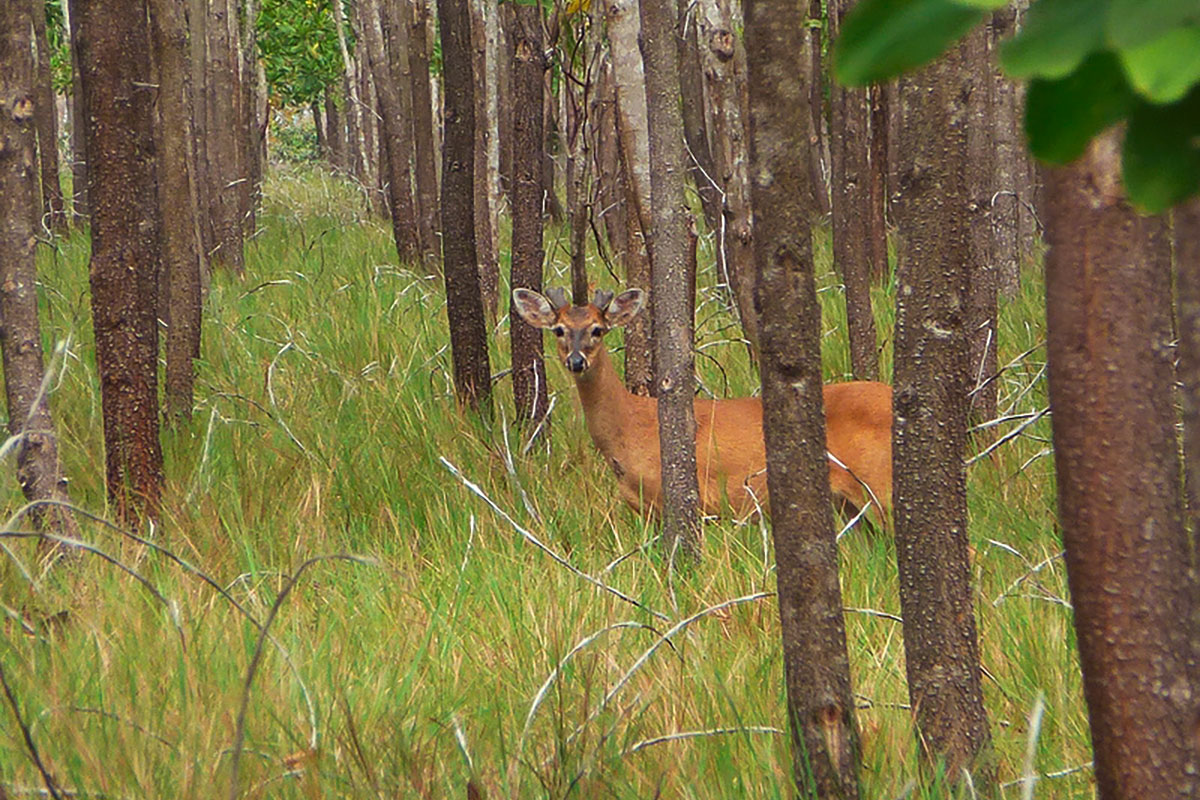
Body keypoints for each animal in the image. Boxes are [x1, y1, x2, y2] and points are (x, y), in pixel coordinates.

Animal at [511, 284, 897, 522]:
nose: (576, 361)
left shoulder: (683, 500)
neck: (630, 430)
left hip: (881, 488)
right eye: (559, 329)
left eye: (597, 329)